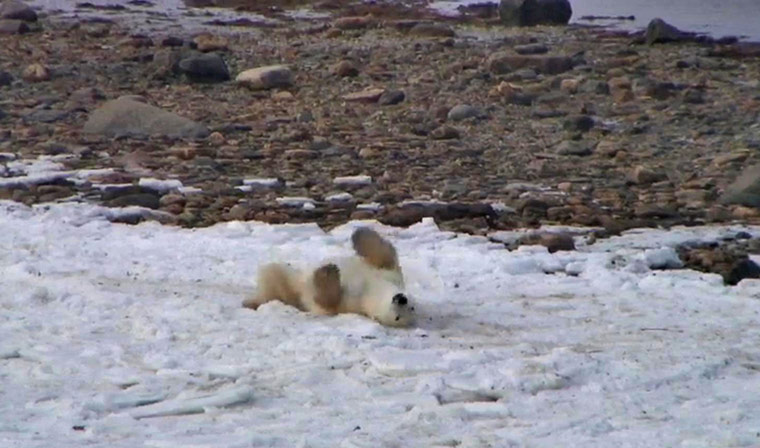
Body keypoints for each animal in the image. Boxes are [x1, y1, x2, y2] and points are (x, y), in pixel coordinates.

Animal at [242, 227, 415, 327]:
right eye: (411, 305)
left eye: (398, 318)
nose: (401, 299)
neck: (371, 290)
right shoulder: (388, 275)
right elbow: (383, 254)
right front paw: (359, 233)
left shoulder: (349, 305)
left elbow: (327, 300)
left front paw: (328, 272)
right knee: (273, 271)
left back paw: (252, 302)